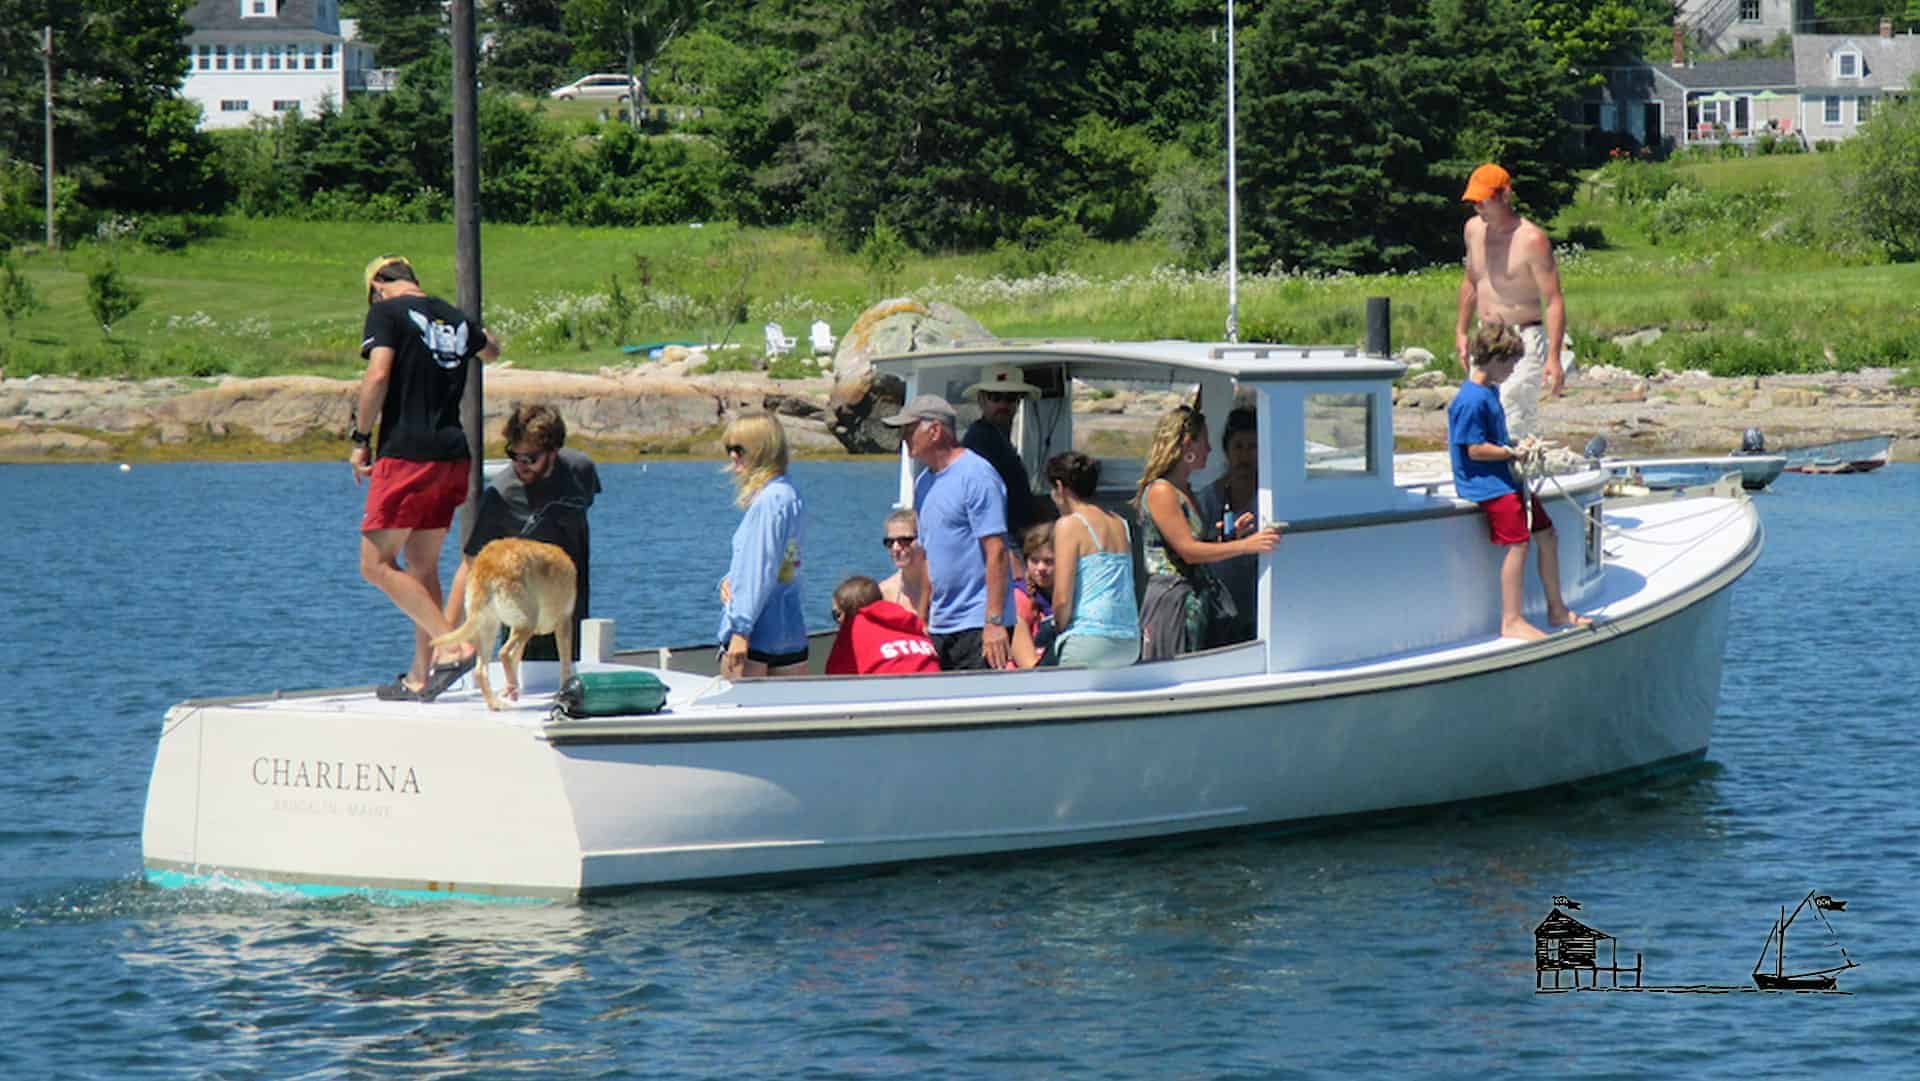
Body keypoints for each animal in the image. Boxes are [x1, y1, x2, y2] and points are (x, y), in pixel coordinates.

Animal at [433, 537, 576, 710]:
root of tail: (486, 567)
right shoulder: (564, 623)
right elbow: (565, 664)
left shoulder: (516, 628)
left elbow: (516, 658)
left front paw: (508, 691)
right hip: (527, 622)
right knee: (504, 653)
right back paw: (511, 687)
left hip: (490, 627)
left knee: (481, 670)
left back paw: (496, 702)